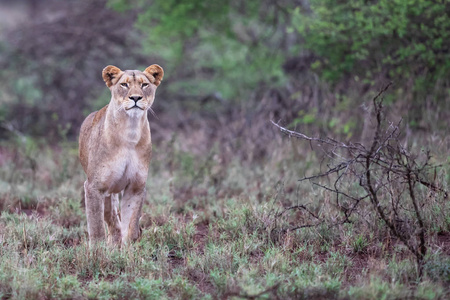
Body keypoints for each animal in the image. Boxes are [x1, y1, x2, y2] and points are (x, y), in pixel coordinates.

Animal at [78, 64, 163, 245]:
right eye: (124, 84)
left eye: (144, 85)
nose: (136, 97)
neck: (130, 131)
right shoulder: (94, 187)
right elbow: (96, 229)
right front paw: (98, 252)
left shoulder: (136, 187)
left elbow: (130, 227)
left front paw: (128, 251)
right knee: (111, 220)